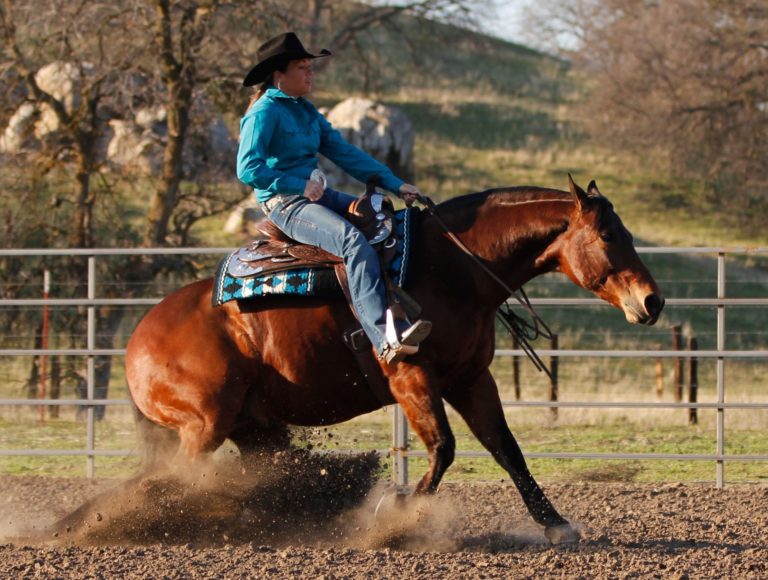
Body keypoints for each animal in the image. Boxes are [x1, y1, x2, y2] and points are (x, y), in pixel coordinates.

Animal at [126, 175, 664, 543]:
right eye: (607, 236)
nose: (652, 301)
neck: (450, 271)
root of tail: (138, 342)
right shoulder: (410, 376)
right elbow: (444, 447)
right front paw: (393, 516)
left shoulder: (470, 379)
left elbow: (506, 449)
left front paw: (555, 524)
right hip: (204, 425)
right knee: (165, 481)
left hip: (255, 428)